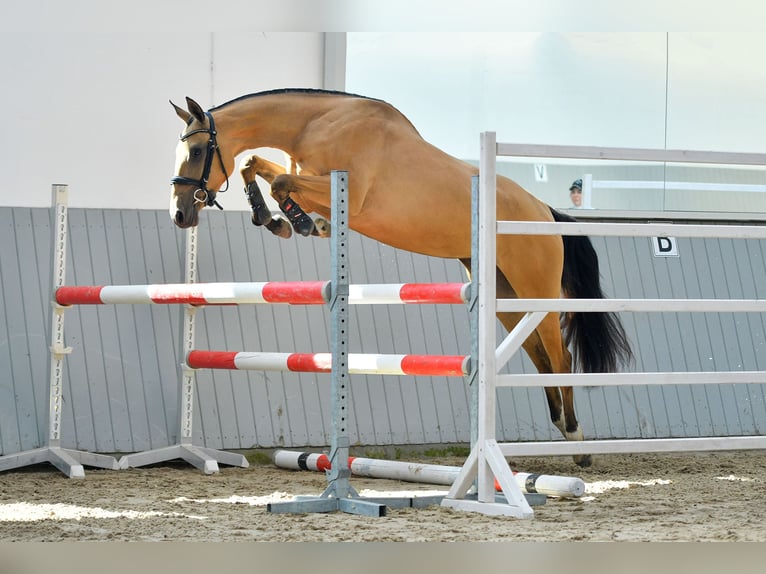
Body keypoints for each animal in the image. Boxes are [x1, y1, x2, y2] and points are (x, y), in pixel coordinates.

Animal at [169, 88, 633, 467]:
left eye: (198, 151)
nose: (180, 214)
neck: (317, 123)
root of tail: (545, 212)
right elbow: (256, 165)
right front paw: (284, 219)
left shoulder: (348, 195)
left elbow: (280, 179)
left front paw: (294, 221)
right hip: (505, 293)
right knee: (539, 356)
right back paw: (560, 428)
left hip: (535, 289)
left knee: (560, 356)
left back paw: (577, 440)